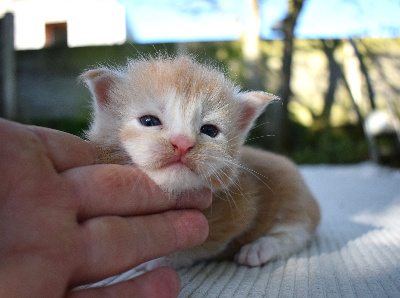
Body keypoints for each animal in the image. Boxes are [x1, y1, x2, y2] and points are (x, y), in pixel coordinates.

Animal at [82, 54, 322, 268]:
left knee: (295, 234)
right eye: (149, 121)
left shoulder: (239, 210)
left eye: (209, 130)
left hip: (294, 199)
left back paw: (259, 249)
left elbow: (198, 246)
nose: (182, 143)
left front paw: (159, 260)